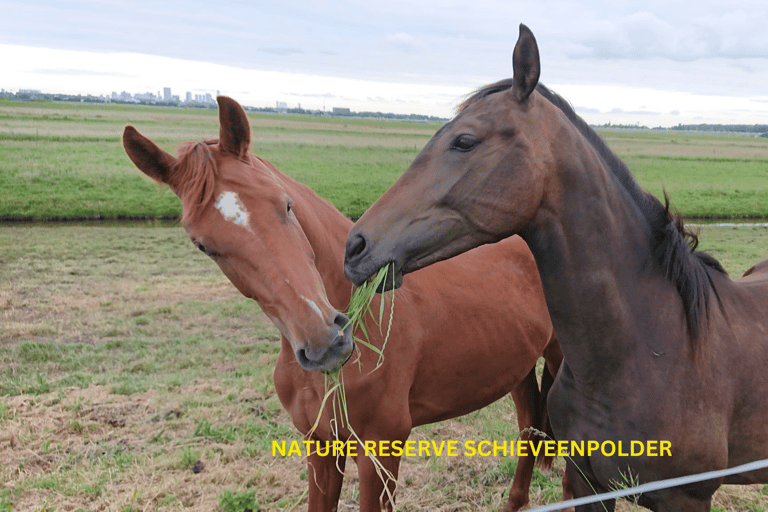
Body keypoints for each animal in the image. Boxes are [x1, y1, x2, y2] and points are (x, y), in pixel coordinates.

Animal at [120, 96, 564, 512]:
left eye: (284, 204)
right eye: (204, 245)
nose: (325, 341)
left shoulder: (381, 449)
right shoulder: (320, 445)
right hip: (517, 364)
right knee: (528, 423)